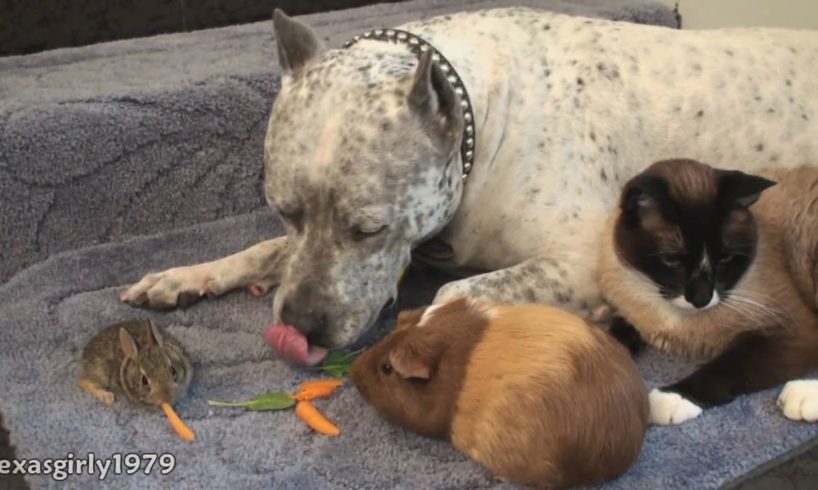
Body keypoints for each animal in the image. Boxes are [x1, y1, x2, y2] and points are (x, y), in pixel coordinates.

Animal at [592, 160, 816, 424]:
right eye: (671, 260)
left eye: (725, 258)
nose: (701, 298)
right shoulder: (628, 316)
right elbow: (611, 340)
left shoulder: (787, 331)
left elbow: (726, 367)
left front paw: (671, 398)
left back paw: (801, 396)